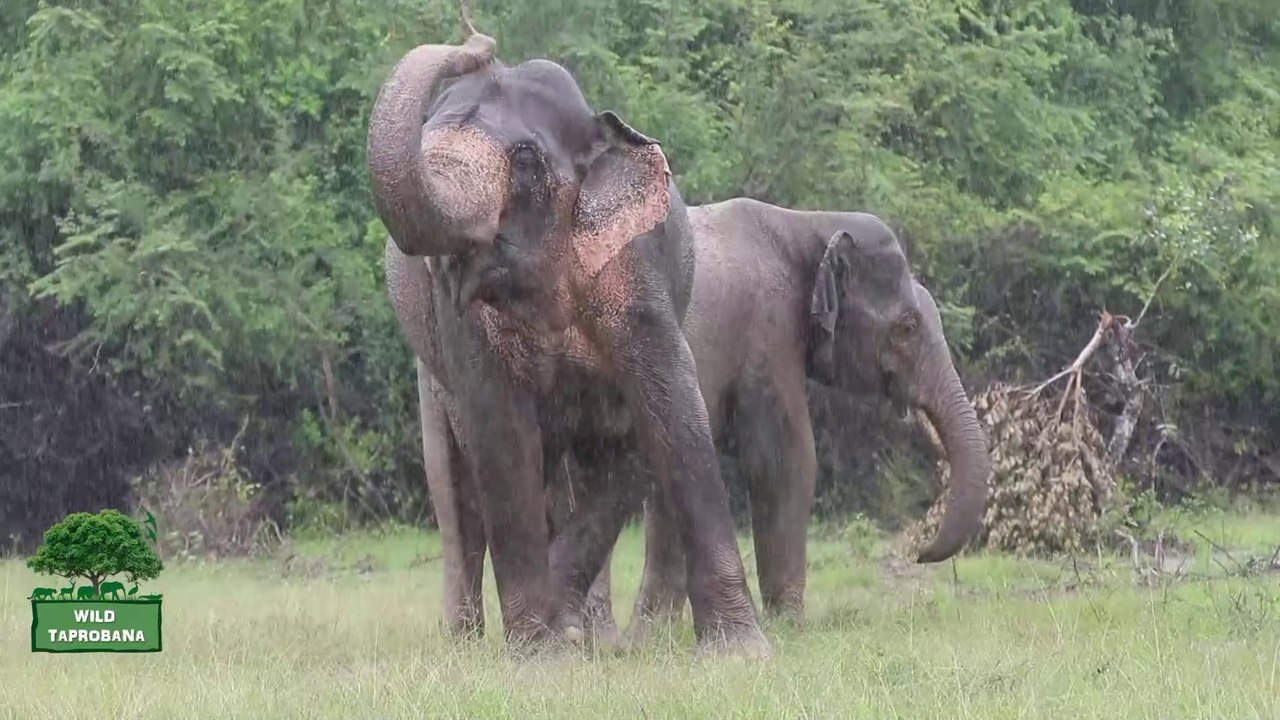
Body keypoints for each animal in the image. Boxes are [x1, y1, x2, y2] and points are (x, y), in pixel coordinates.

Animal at [372, 11, 767, 656]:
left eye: (526, 161)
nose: (477, 41)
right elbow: (499, 428)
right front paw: (540, 655)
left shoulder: (637, 266)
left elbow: (667, 404)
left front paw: (740, 654)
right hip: (428, 382)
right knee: (458, 486)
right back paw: (476, 644)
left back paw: (585, 633)